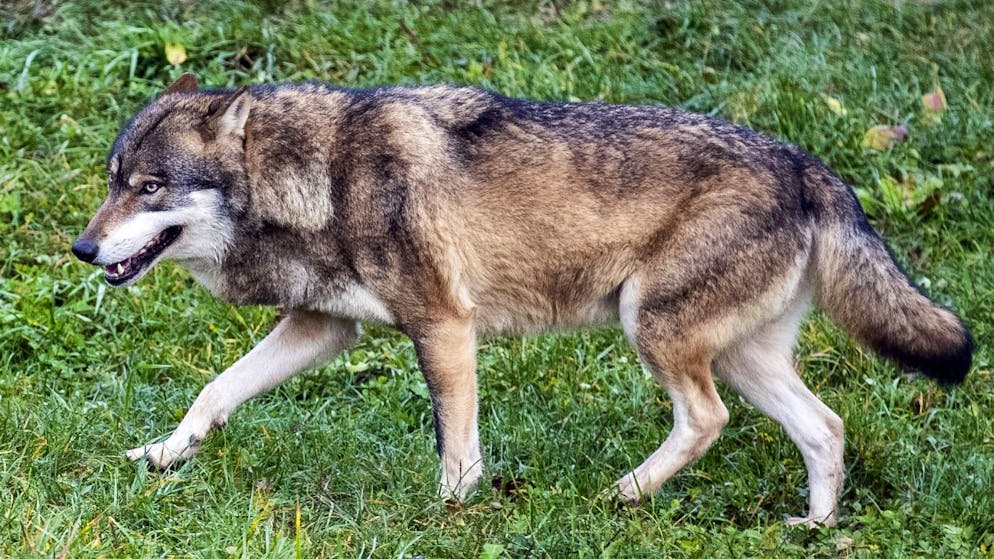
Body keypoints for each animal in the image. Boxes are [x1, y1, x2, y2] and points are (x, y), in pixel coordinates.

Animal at [71, 73, 971, 526]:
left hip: (653, 330)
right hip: (739, 355)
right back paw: (815, 528)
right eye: (113, 183)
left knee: (710, 418)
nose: (82, 249)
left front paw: (450, 514)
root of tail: (807, 163)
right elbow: (213, 391)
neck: (319, 175)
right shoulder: (324, 329)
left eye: (148, 188)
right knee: (826, 426)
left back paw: (624, 494)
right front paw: (161, 455)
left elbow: (457, 445)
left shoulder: (443, 324)